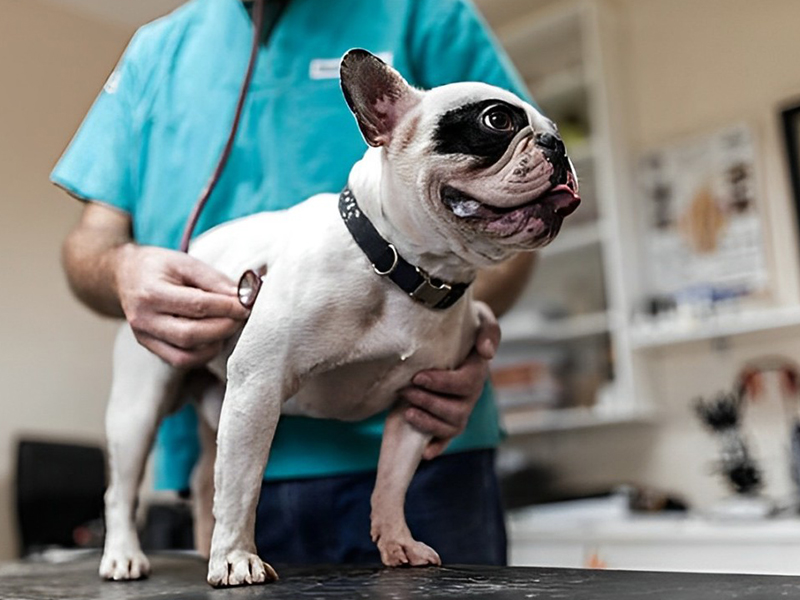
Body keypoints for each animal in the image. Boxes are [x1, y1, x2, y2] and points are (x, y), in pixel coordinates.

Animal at [97, 50, 580, 584]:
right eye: (497, 120)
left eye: (553, 128)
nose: (558, 144)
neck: (400, 266)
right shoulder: (259, 385)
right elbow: (244, 484)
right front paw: (237, 558)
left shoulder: (416, 405)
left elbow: (391, 481)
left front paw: (396, 540)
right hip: (139, 409)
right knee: (124, 490)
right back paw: (125, 555)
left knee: (207, 478)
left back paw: (203, 546)